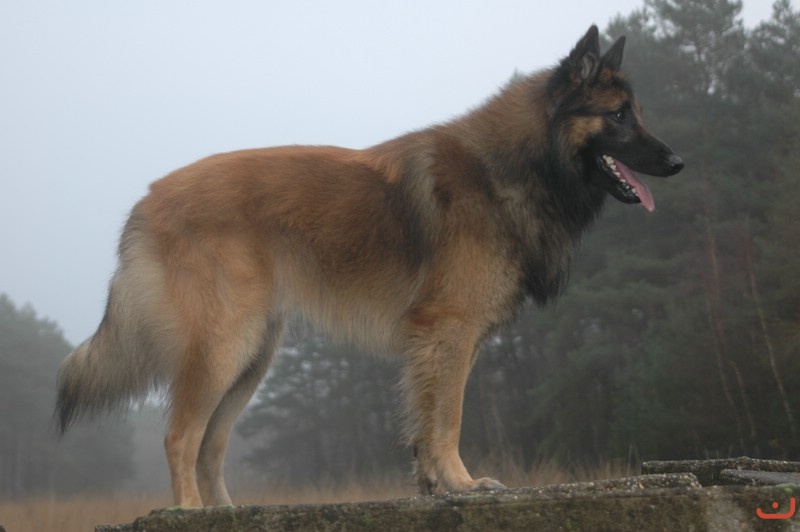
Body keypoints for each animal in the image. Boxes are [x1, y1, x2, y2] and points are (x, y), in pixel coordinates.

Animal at [56, 25, 683, 507]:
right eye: (618, 116)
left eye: (637, 113)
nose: (678, 161)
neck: (512, 165)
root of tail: (146, 201)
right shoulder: (449, 330)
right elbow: (447, 417)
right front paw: (461, 484)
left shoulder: (441, 342)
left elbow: (425, 420)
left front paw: (434, 484)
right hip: (221, 347)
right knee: (180, 438)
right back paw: (187, 512)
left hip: (251, 358)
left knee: (210, 445)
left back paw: (225, 513)